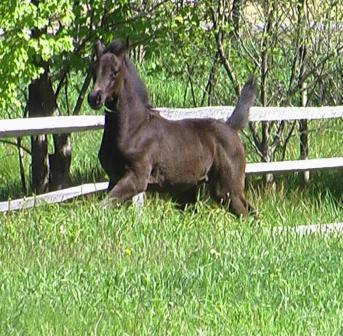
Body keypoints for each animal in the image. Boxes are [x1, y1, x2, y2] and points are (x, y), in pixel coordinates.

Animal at [88, 39, 255, 217]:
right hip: (193, 191)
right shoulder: (114, 178)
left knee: (247, 214)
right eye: (94, 69)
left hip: (228, 189)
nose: (94, 98)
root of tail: (231, 126)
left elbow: (102, 206)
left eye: (115, 71)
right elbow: (105, 206)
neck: (133, 128)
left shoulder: (137, 178)